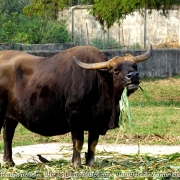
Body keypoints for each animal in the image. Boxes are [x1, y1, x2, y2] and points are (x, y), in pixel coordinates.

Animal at [0, 45, 152, 167]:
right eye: (115, 69)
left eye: (135, 65)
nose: (134, 75)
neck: (98, 81)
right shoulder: (75, 116)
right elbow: (78, 141)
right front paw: (76, 164)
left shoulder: (96, 121)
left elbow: (93, 143)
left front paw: (90, 163)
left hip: (11, 117)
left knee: (8, 135)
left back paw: (9, 162)